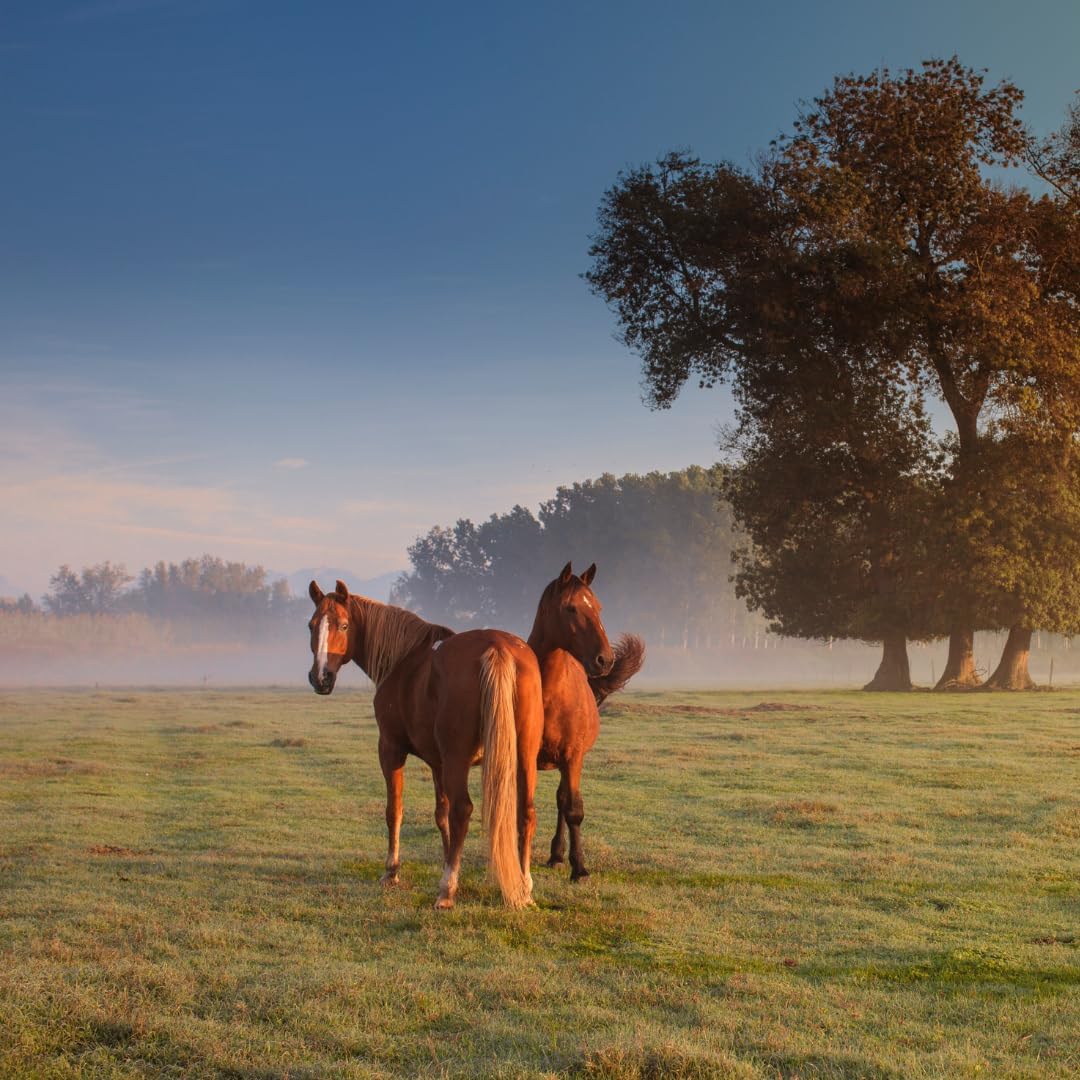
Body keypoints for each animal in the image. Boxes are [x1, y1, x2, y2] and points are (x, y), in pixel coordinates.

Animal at [307, 579, 544, 910]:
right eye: (312, 625)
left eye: (343, 625)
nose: (320, 678)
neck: (403, 659)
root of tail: (496, 648)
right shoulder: (438, 763)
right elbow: (441, 815)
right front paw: (448, 863)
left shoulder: (391, 750)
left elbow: (395, 810)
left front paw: (392, 872)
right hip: (524, 757)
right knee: (525, 813)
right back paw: (524, 888)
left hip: (458, 760)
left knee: (463, 810)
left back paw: (447, 890)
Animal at [527, 562, 645, 881]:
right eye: (570, 608)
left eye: (599, 607)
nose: (605, 660)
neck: (548, 693)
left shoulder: (573, 756)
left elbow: (574, 810)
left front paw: (579, 868)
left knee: (562, 800)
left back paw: (558, 855)